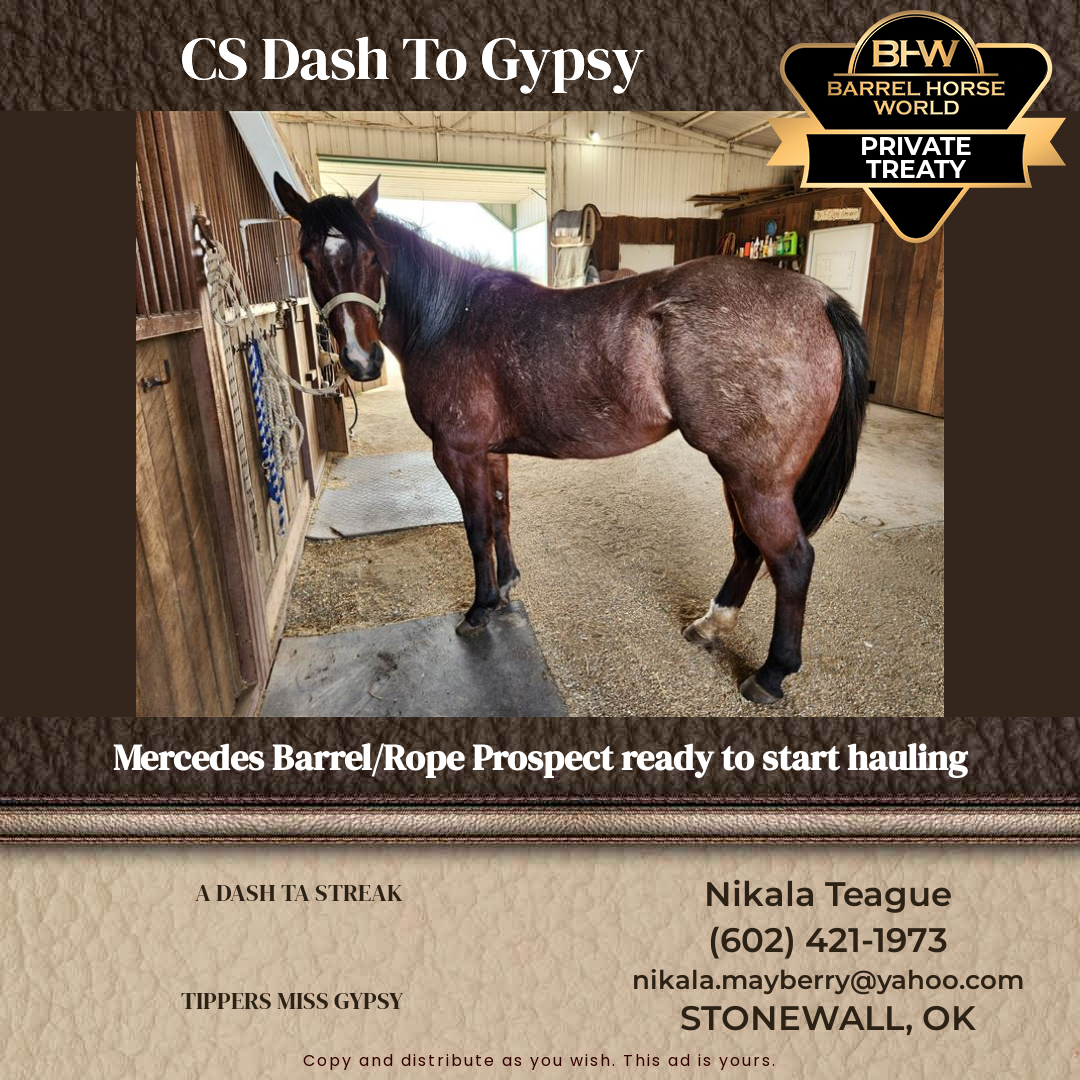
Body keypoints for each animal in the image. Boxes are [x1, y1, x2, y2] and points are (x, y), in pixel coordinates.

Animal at [274, 174, 869, 705]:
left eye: (374, 258)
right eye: (308, 259)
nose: (361, 362)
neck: (450, 319)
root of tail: (818, 296)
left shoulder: (457, 453)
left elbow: (476, 529)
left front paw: (480, 607)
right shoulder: (491, 452)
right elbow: (500, 516)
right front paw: (507, 587)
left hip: (755, 479)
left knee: (790, 560)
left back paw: (771, 675)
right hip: (739, 476)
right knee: (748, 548)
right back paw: (710, 627)